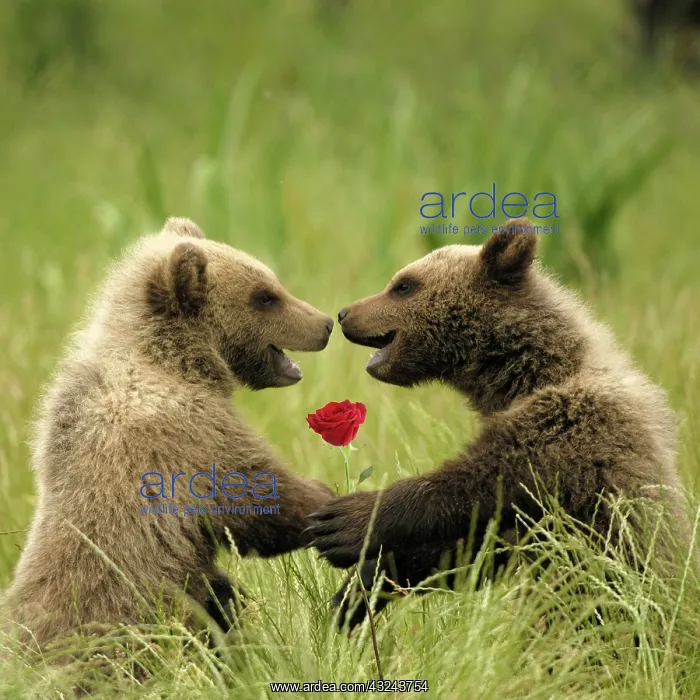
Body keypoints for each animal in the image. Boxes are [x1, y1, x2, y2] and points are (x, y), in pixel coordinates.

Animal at [1, 217, 335, 650]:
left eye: (272, 284)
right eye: (264, 296)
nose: (325, 323)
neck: (175, 360)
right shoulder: (183, 432)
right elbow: (252, 492)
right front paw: (323, 496)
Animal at [306, 218, 684, 627]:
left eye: (403, 285)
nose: (344, 313)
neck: (528, 375)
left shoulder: (569, 432)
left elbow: (481, 482)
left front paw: (345, 522)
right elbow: (470, 545)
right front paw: (360, 588)